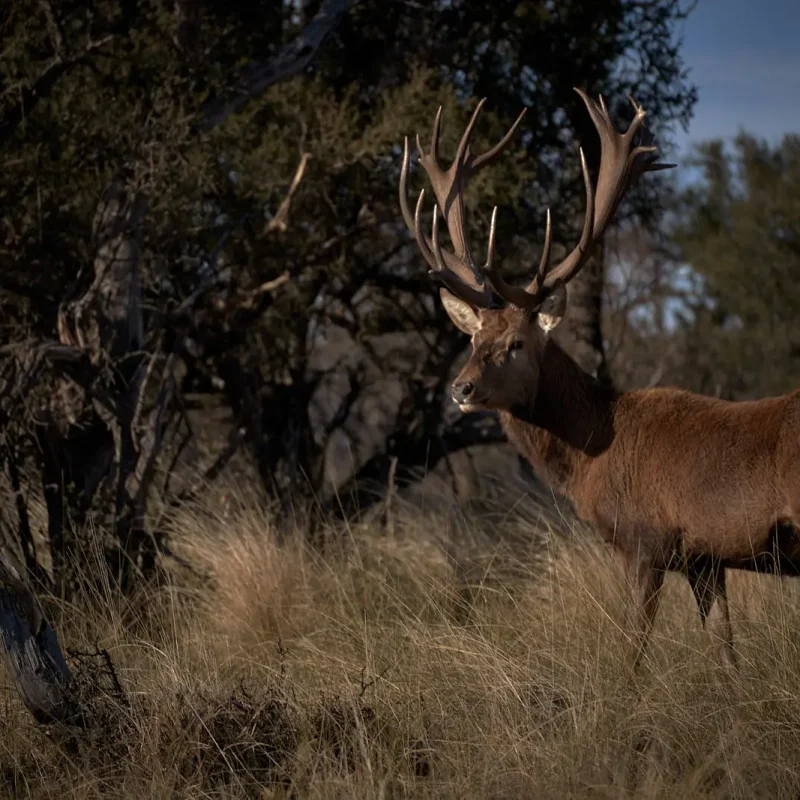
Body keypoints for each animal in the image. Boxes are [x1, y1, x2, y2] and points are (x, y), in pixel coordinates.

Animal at [398, 88, 800, 672]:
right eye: (472, 339)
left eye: (517, 343)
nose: (461, 389)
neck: (592, 457)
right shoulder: (705, 558)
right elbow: (725, 652)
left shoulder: (643, 539)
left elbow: (632, 649)